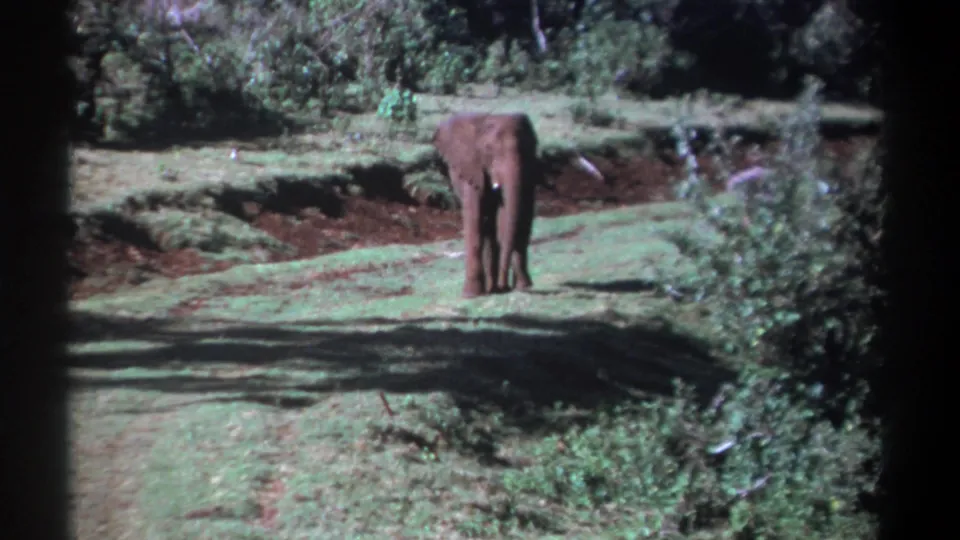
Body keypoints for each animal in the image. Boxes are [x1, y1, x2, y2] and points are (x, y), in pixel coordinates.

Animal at [432, 112, 605, 298]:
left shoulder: (528, 171)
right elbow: (476, 218)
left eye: (530, 147)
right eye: (488, 150)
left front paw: (522, 286)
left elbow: (518, 219)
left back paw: (496, 288)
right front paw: (471, 295)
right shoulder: (472, 169)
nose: (504, 287)